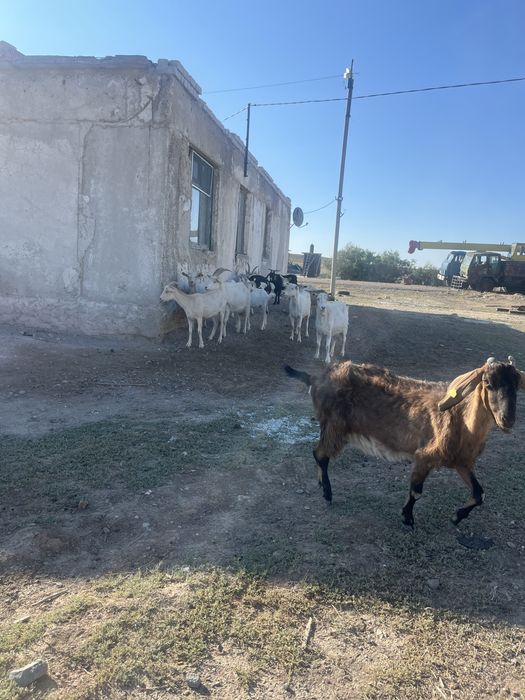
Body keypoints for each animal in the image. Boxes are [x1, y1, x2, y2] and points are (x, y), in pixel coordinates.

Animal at [285, 357, 524, 527]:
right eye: (488, 384)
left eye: (516, 386)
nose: (508, 419)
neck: (460, 418)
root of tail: (316, 379)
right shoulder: (425, 456)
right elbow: (416, 491)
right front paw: (407, 518)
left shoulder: (461, 462)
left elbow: (479, 493)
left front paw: (457, 516)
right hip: (335, 426)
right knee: (320, 454)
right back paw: (327, 493)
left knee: (319, 454)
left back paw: (321, 484)